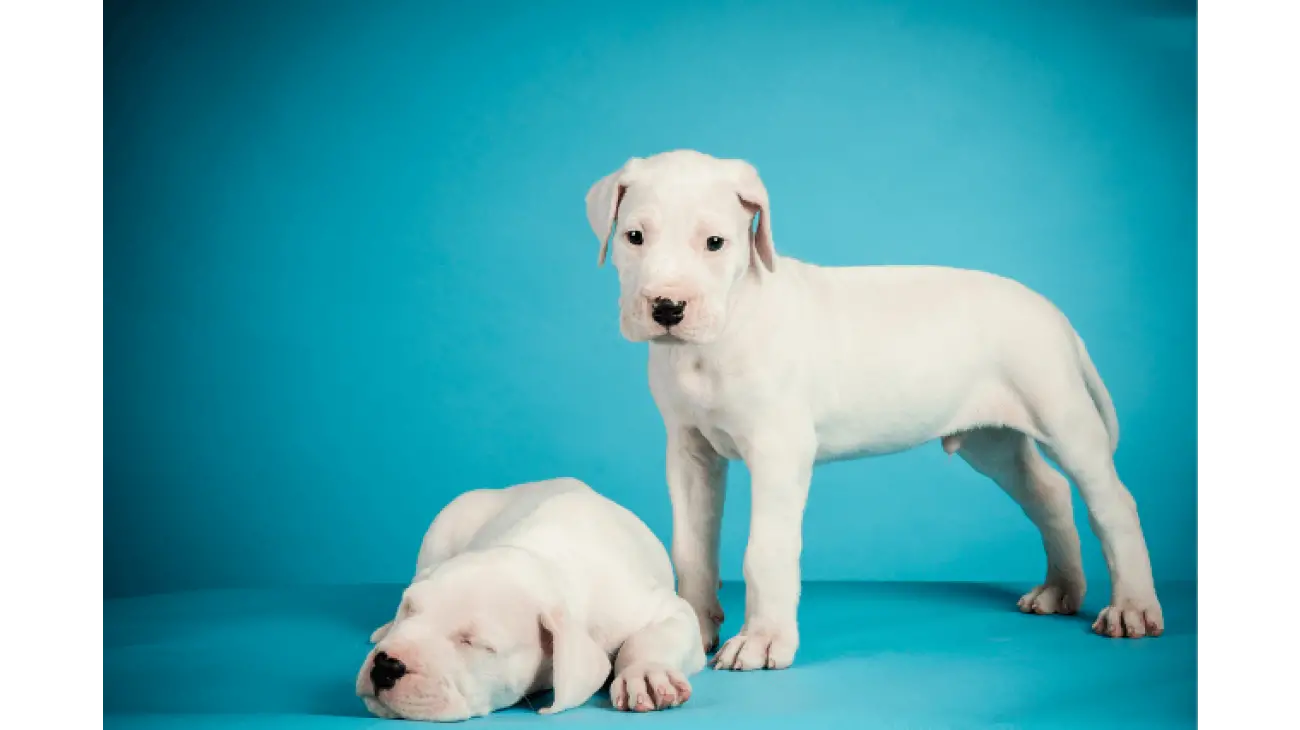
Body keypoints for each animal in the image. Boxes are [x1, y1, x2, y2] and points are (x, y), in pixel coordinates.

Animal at [356, 475, 707, 717]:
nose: (386, 665)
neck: (546, 560)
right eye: (409, 609)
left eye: (475, 643)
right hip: (441, 530)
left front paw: (646, 673)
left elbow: (649, 637)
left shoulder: (665, 609)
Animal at [585, 148, 1164, 670]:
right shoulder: (690, 452)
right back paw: (1060, 590)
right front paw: (691, 626)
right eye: (635, 237)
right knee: (1049, 492)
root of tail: (1052, 311)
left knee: (1113, 503)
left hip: (1061, 416)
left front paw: (762, 641)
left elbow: (765, 551)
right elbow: (692, 546)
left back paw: (1132, 607)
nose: (667, 308)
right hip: (992, 440)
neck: (722, 331)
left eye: (715, 243)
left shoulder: (778, 452)